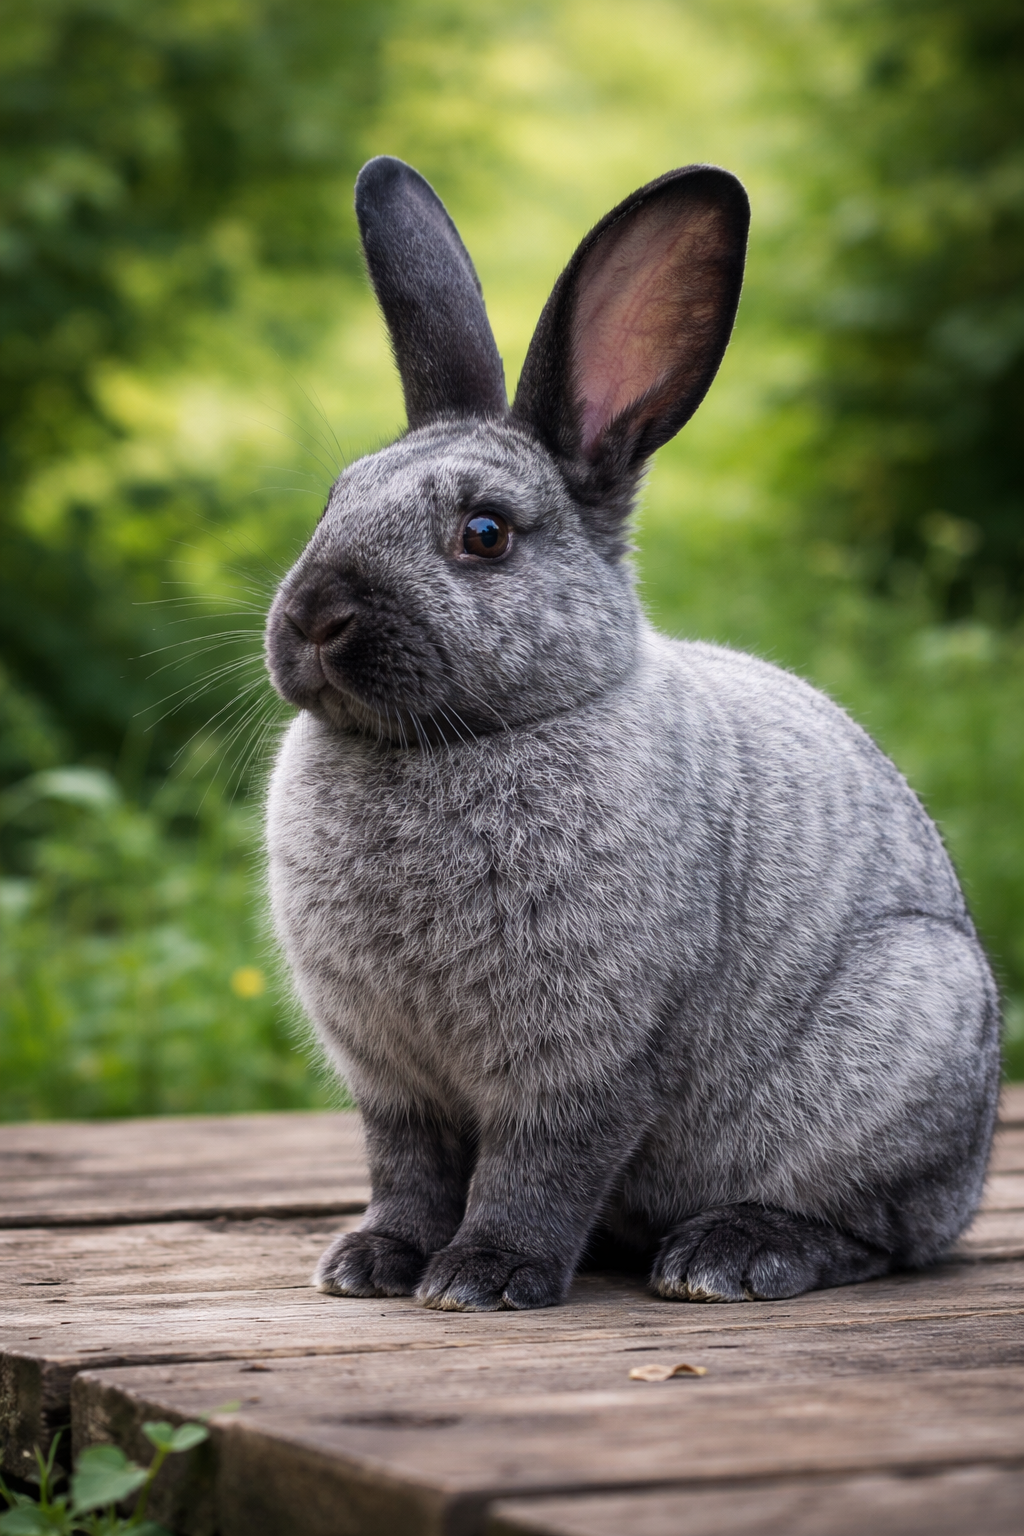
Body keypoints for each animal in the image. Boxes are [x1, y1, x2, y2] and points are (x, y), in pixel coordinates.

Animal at [264, 156, 1001, 1312]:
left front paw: (482, 1278)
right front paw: (373, 1263)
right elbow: (408, 1172)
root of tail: (971, 1172)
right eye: (334, 500)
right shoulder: (395, 1085)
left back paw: (728, 1257)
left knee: (876, 1233)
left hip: (898, 1049)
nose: (311, 619)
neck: (461, 740)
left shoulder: (590, 1060)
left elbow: (539, 1169)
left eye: (484, 534)